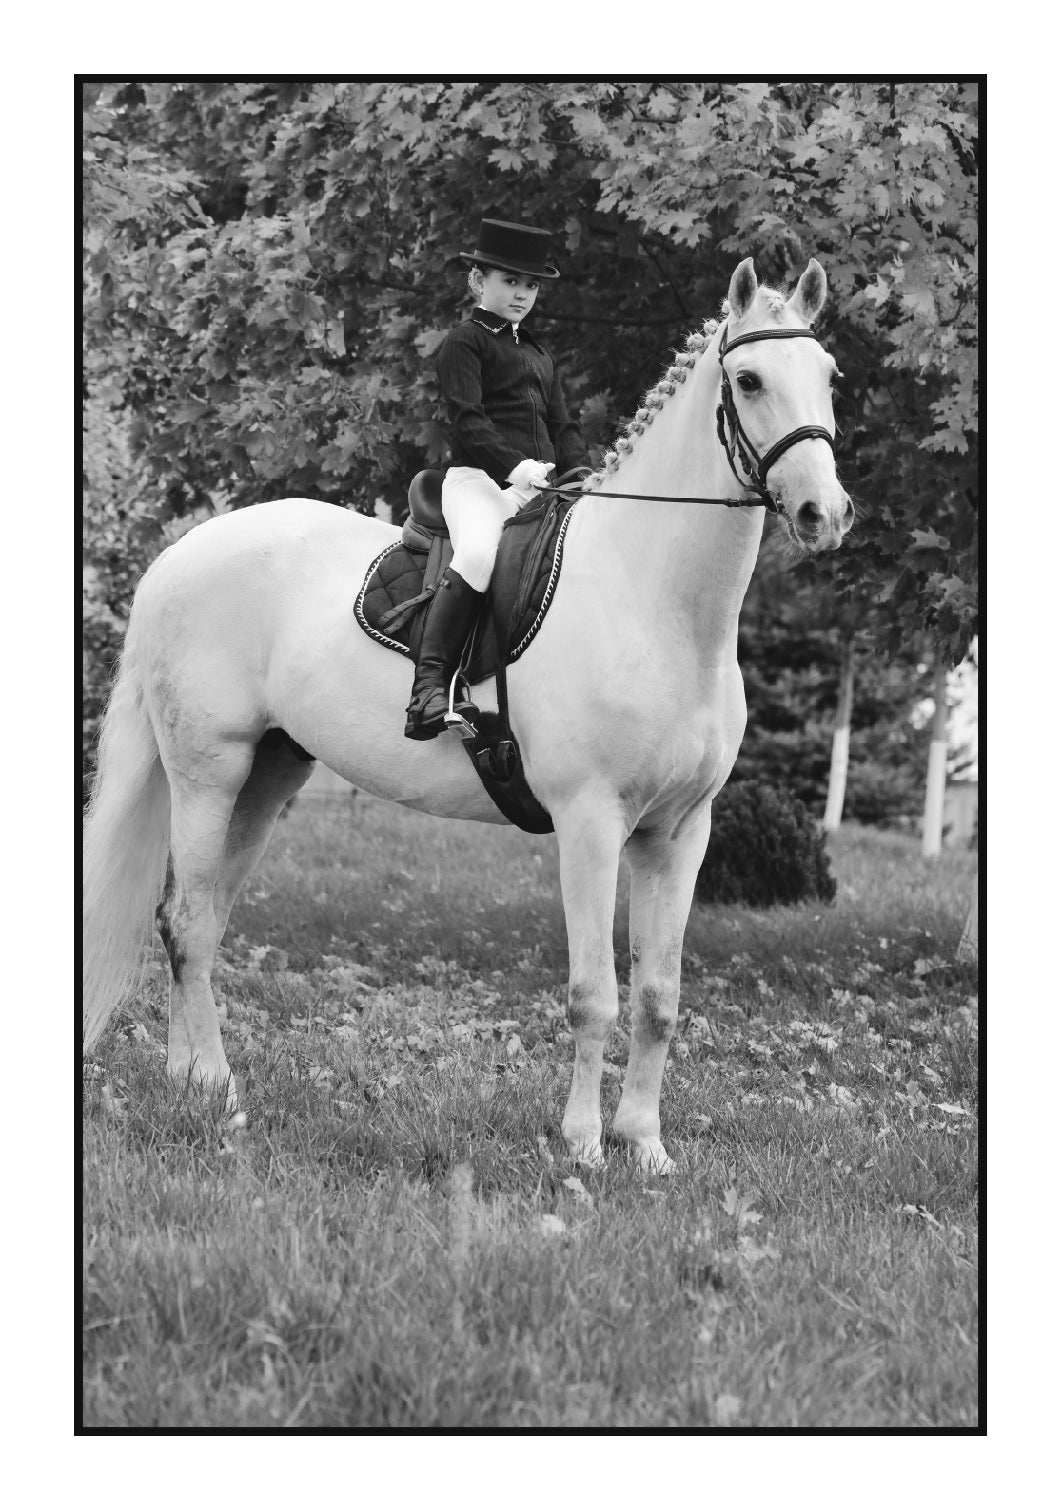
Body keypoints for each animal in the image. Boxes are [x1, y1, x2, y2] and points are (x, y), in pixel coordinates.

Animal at [83, 257, 853, 1174]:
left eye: (830, 376)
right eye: (749, 379)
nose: (823, 515)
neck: (651, 595)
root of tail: (182, 551)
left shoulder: (680, 832)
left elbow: (660, 995)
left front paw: (646, 1148)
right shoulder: (591, 823)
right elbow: (593, 993)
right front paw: (584, 1149)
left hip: (268, 777)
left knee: (197, 924)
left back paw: (193, 1084)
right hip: (210, 770)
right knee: (190, 922)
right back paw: (224, 1101)